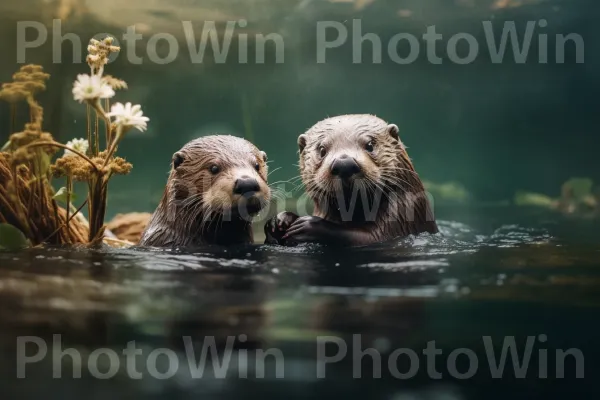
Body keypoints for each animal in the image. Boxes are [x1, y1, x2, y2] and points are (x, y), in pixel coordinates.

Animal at [264, 113, 438, 247]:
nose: (344, 164)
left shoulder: (403, 214)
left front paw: (309, 225)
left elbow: (368, 238)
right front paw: (279, 221)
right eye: (322, 150)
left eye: (370, 145)